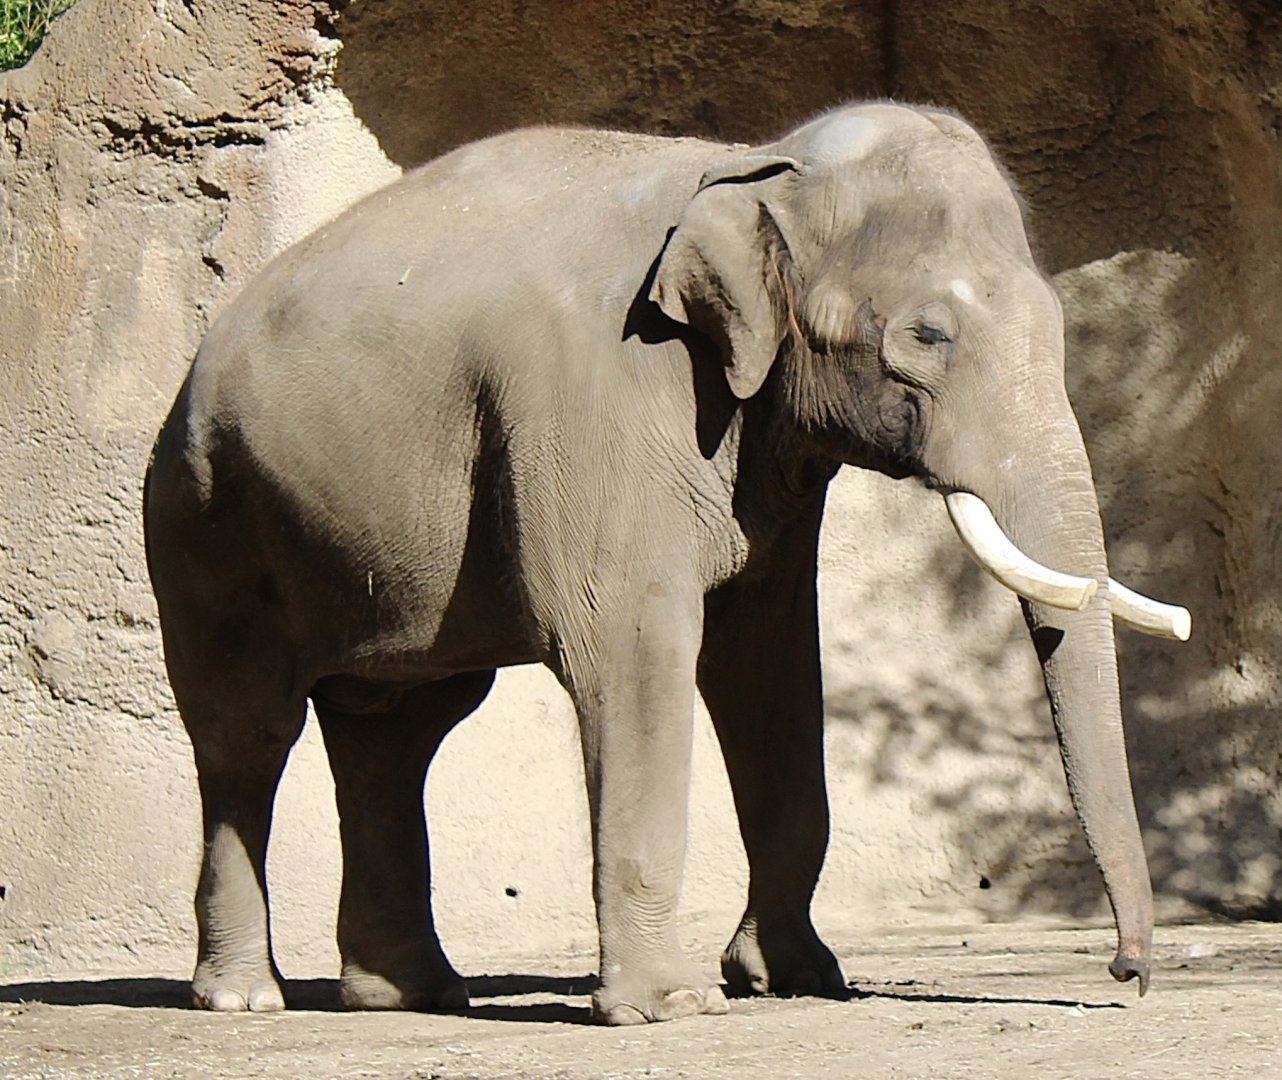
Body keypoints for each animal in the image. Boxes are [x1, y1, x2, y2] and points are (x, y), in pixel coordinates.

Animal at [144, 101, 1189, 1025]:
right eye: (928, 337)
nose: (1126, 974)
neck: (749, 164)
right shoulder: (601, 393)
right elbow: (635, 645)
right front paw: (672, 1007)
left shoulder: (761, 442)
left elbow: (767, 661)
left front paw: (798, 980)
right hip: (204, 521)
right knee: (249, 733)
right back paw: (246, 998)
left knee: (398, 730)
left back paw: (412, 996)